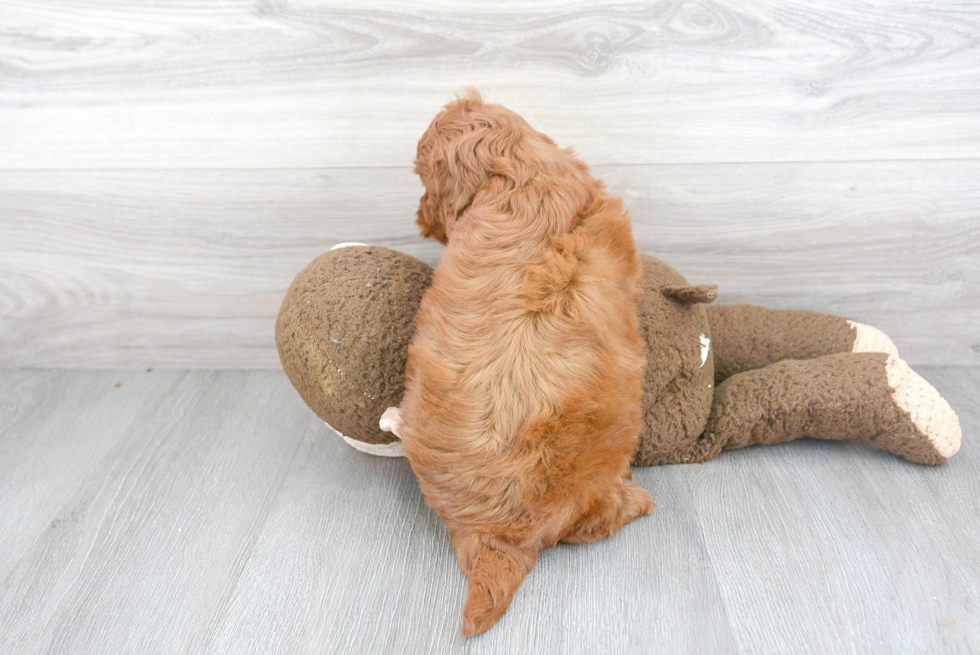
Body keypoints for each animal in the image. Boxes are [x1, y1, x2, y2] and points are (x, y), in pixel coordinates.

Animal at [388, 92, 652, 636]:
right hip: (593, 493)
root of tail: (495, 537)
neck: (521, 172)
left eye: (423, 181)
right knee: (604, 517)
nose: (421, 217)